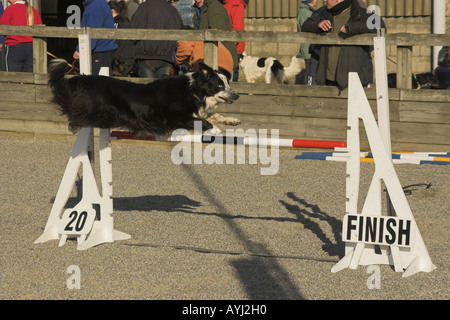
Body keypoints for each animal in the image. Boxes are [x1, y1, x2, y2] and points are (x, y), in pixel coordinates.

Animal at [47, 58, 241, 136]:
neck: (193, 90)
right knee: (76, 117)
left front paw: (232, 120)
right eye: (219, 85)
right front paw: (216, 130)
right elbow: (204, 121)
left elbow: (213, 115)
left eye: (228, 83)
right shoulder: (177, 118)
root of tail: (83, 79)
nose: (237, 95)